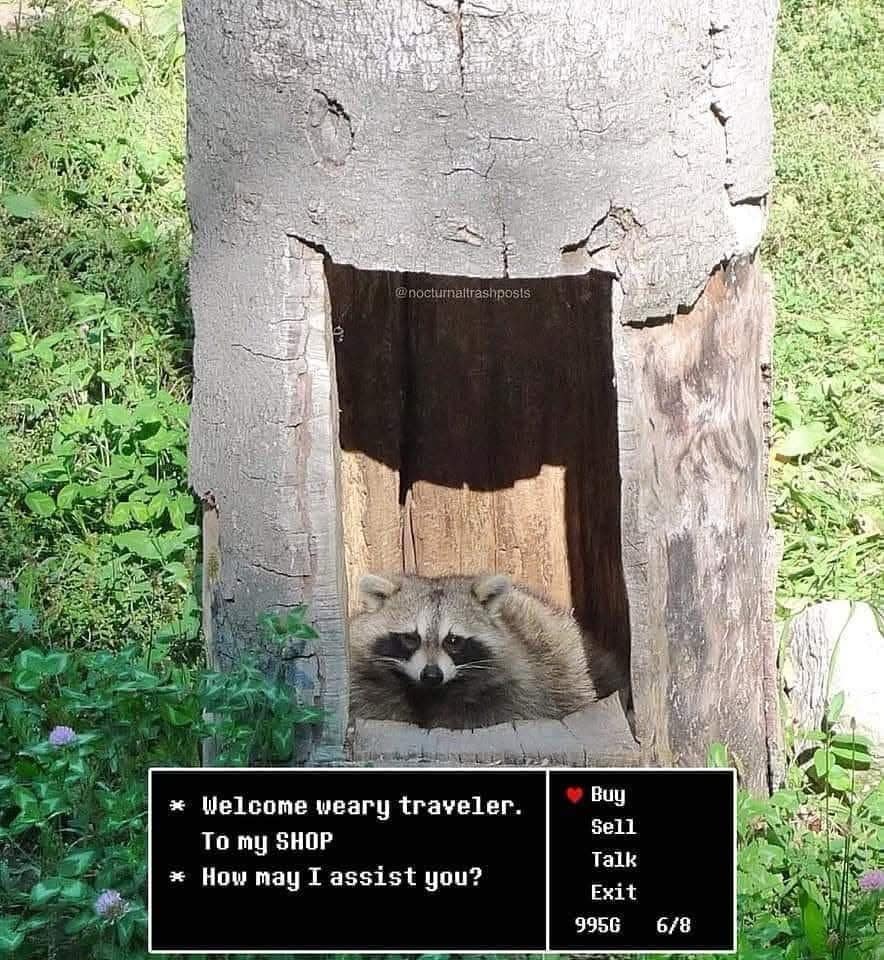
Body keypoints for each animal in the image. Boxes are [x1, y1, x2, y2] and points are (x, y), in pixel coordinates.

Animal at [348, 571, 626, 730]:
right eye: (409, 638)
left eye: (453, 640)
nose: (432, 675)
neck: (430, 693)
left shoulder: (521, 681)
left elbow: (507, 709)